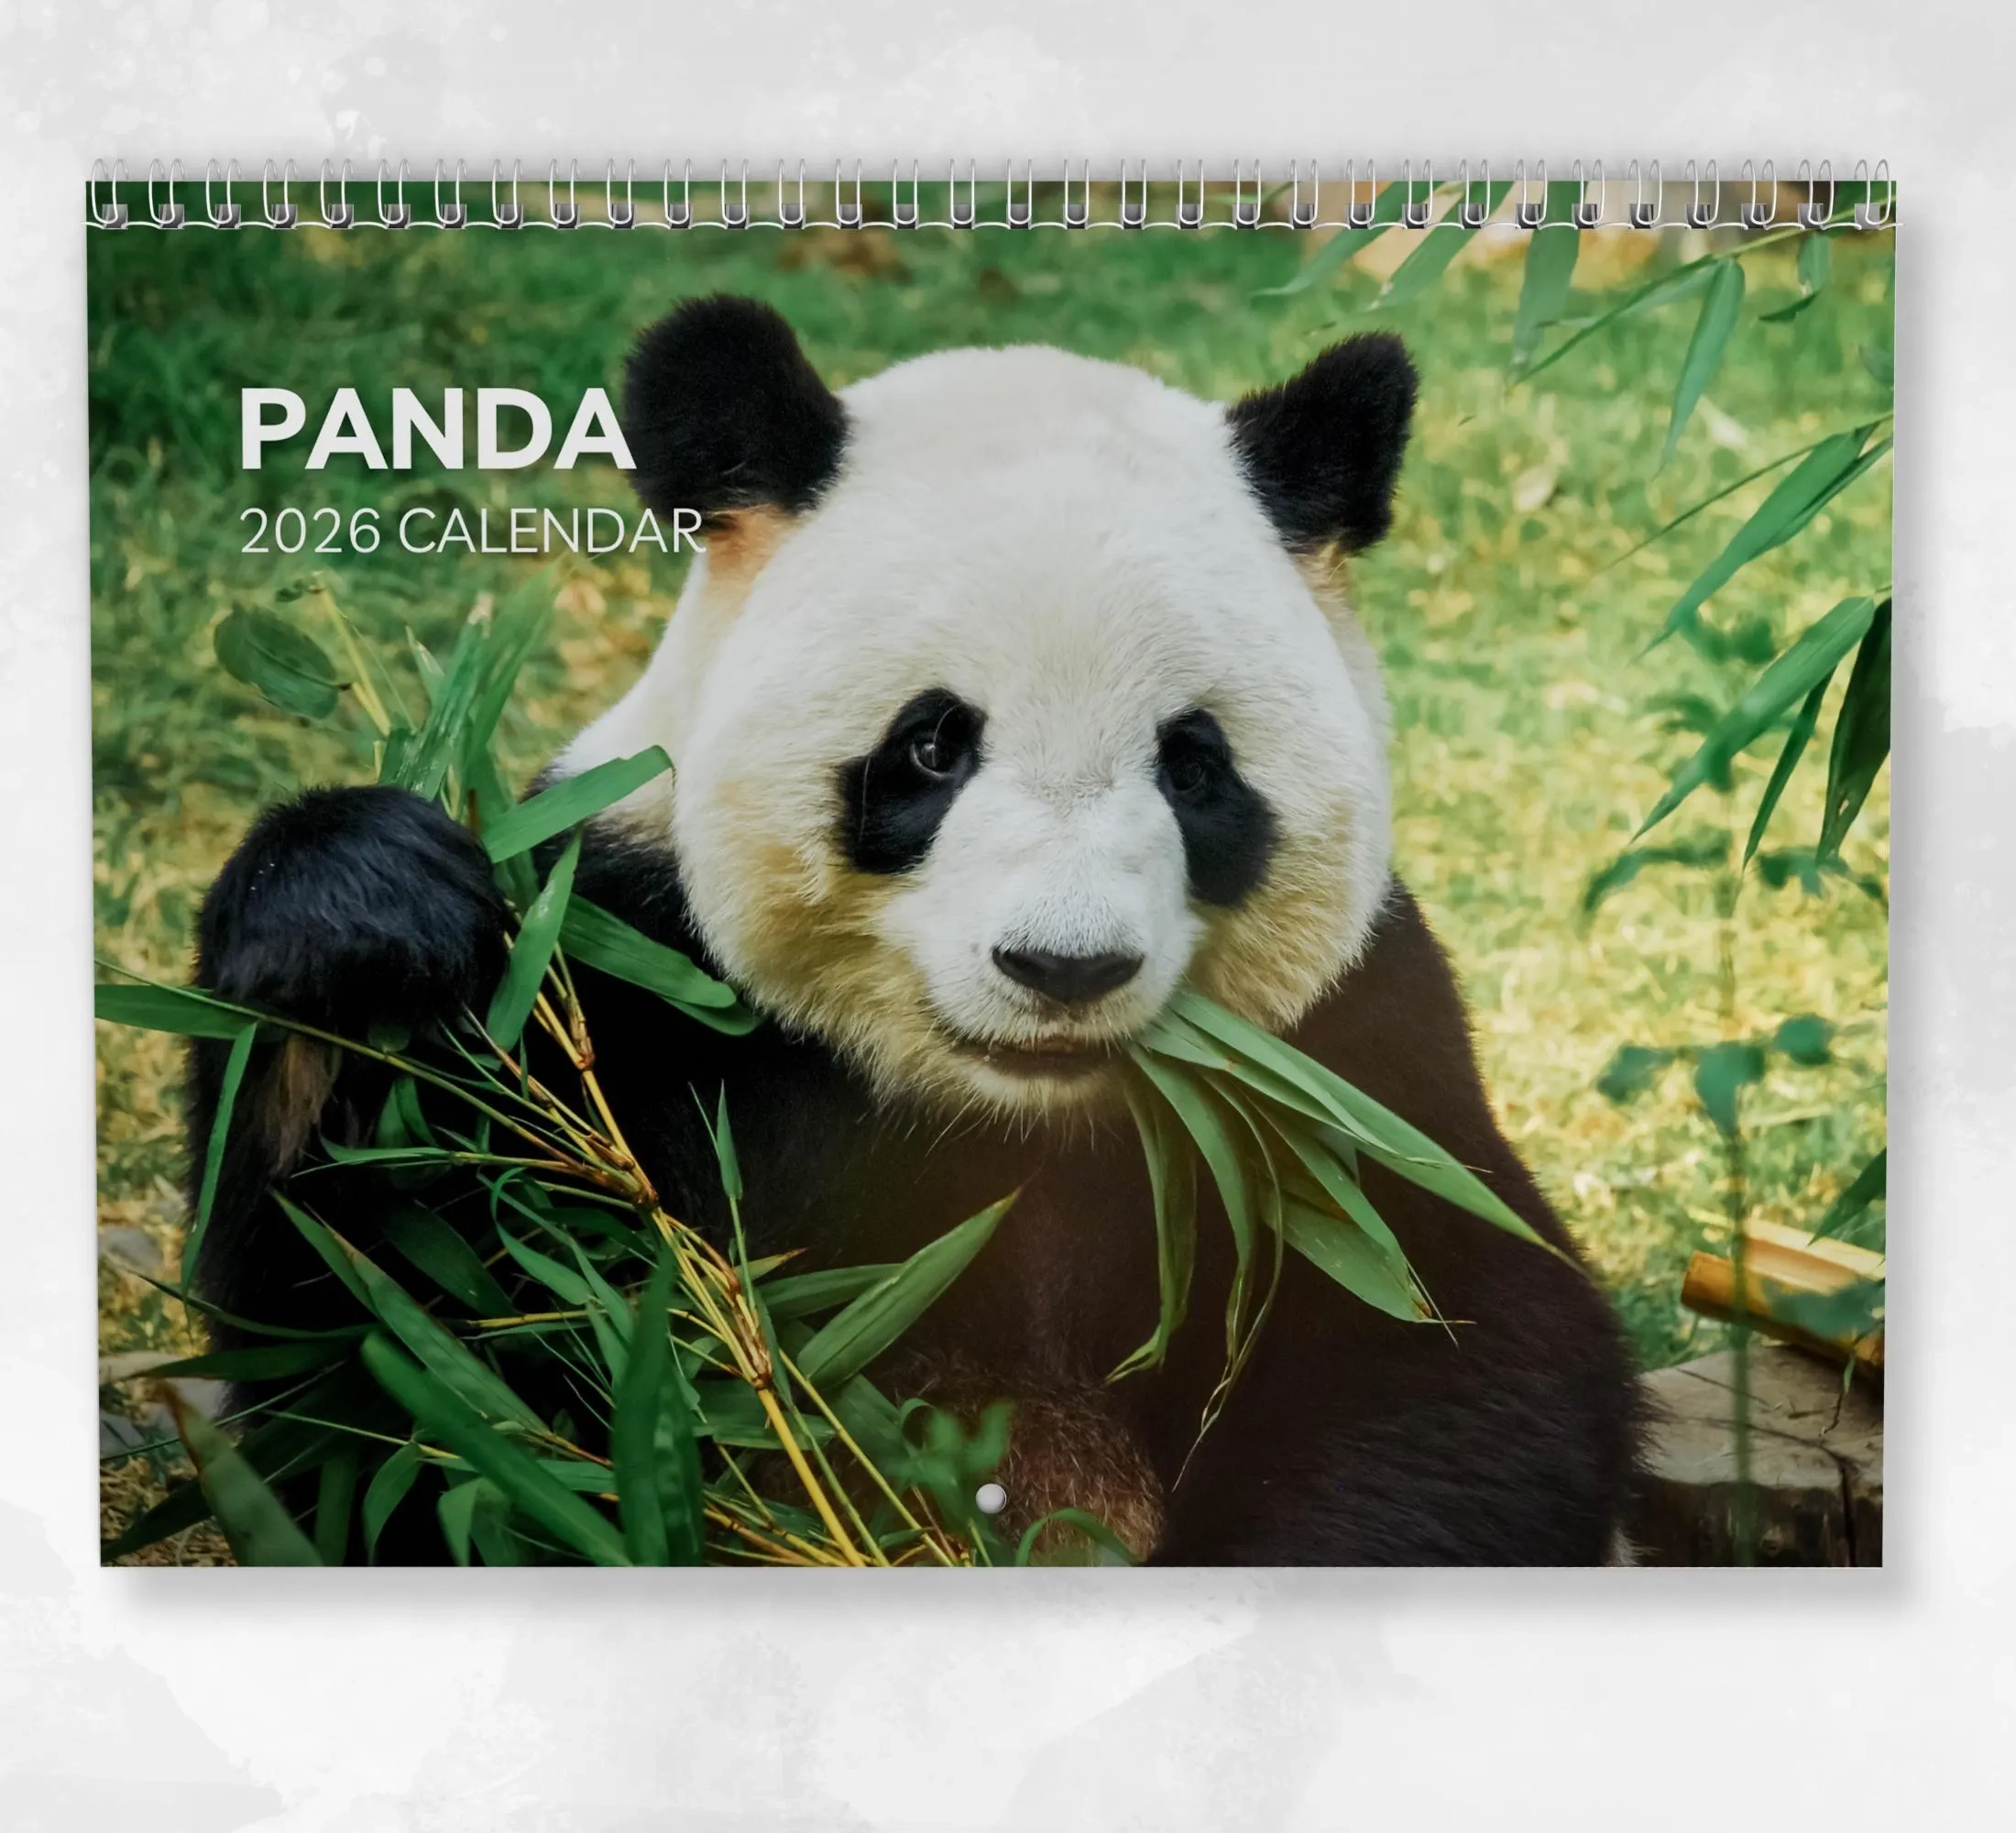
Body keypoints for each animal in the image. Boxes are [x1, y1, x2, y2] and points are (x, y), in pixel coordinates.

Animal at [189, 295, 1642, 1565]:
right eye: (933, 747)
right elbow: (405, 1358)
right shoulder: (627, 966)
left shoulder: (1344, 1042)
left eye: (1193, 767)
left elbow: (1446, 1334)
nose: (1064, 967)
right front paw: (362, 922)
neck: (1001, 1116)